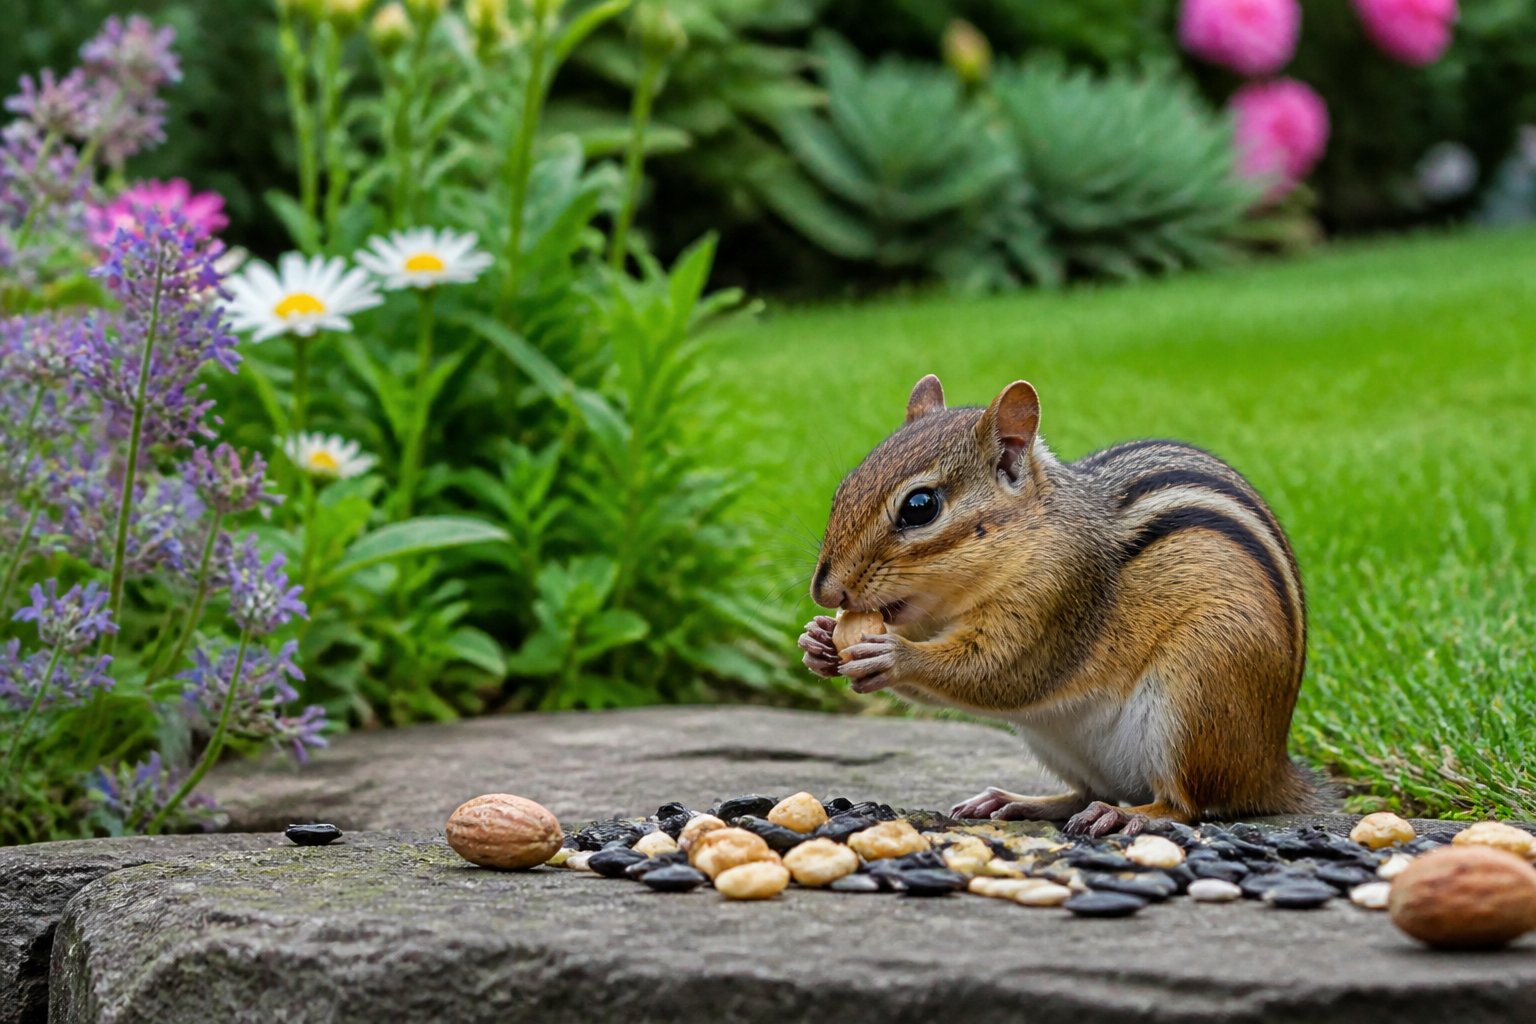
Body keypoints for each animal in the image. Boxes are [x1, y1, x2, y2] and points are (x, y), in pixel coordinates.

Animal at [798, 374, 1329, 836]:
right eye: (845, 487)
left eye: (920, 506)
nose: (825, 591)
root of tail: (1270, 768)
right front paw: (818, 641)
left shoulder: (1059, 600)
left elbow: (1001, 672)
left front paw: (893, 656)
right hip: (1057, 739)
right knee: (1087, 792)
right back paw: (1018, 802)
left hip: (1199, 689)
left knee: (1186, 804)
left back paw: (1131, 815)